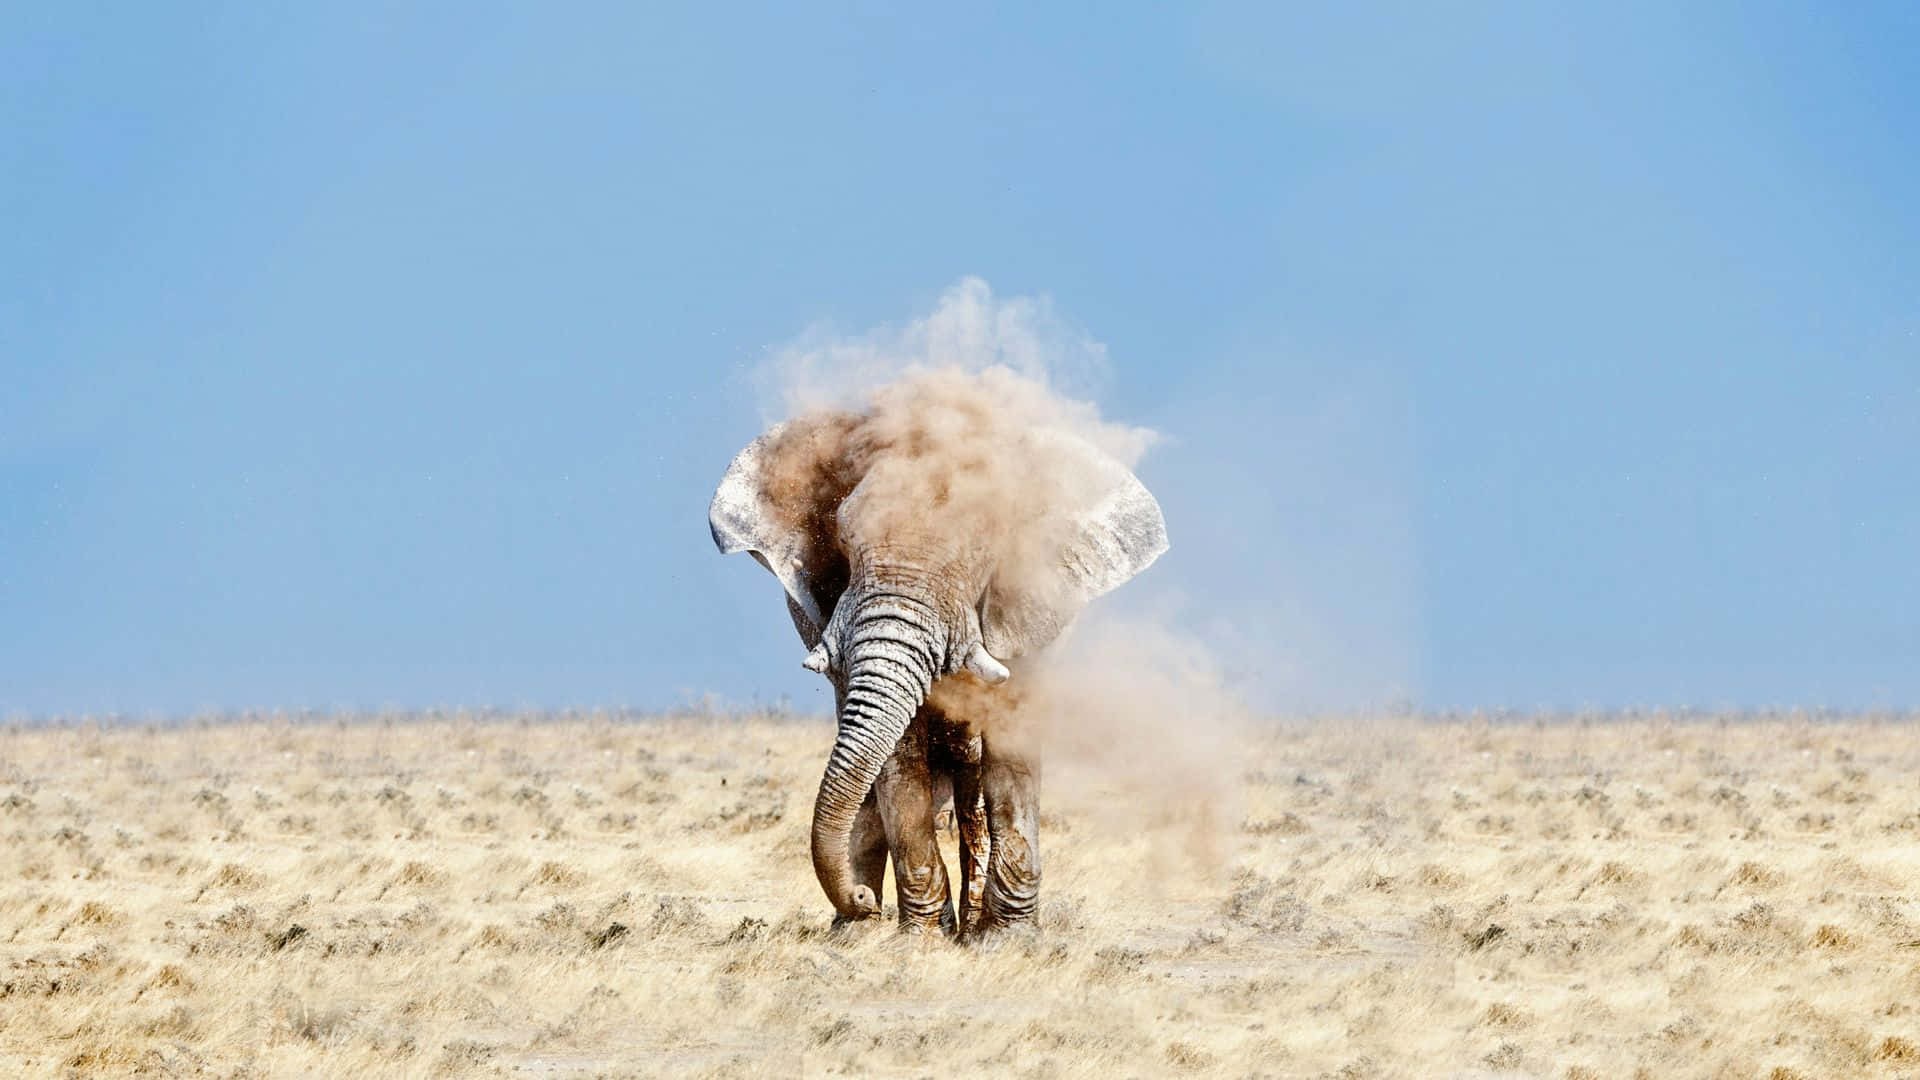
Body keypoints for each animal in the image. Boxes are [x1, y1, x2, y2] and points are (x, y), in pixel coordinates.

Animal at [708, 372, 1167, 935]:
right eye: (843, 540)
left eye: (982, 555)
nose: (858, 897)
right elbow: (897, 756)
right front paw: (921, 939)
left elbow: (1011, 746)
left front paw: (1006, 940)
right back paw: (856, 932)